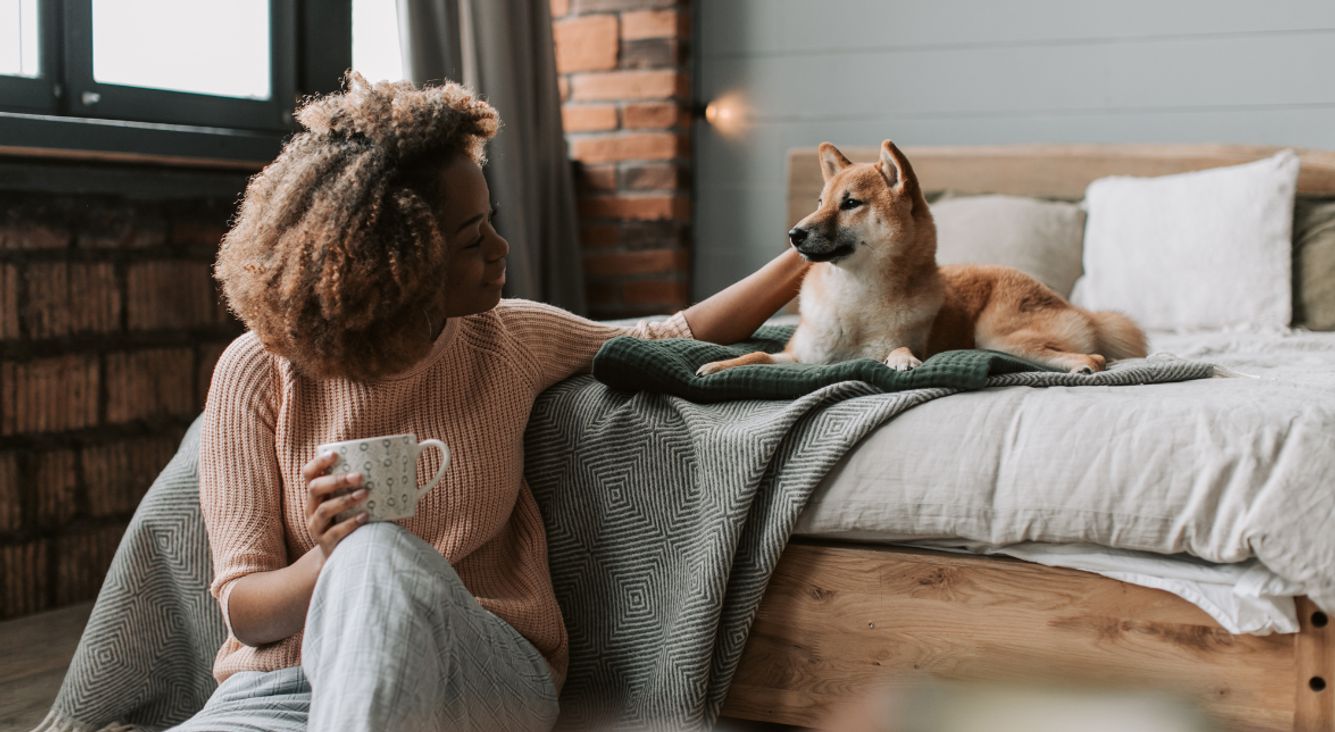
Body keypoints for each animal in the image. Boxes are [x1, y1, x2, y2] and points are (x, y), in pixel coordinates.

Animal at [699, 138, 1148, 376]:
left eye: (851, 204)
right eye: (820, 202)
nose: (794, 235)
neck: (854, 298)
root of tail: (1074, 306)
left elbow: (897, 350)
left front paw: (903, 361)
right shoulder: (799, 357)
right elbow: (757, 354)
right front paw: (718, 367)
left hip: (999, 335)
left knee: (1095, 355)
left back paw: (1081, 366)